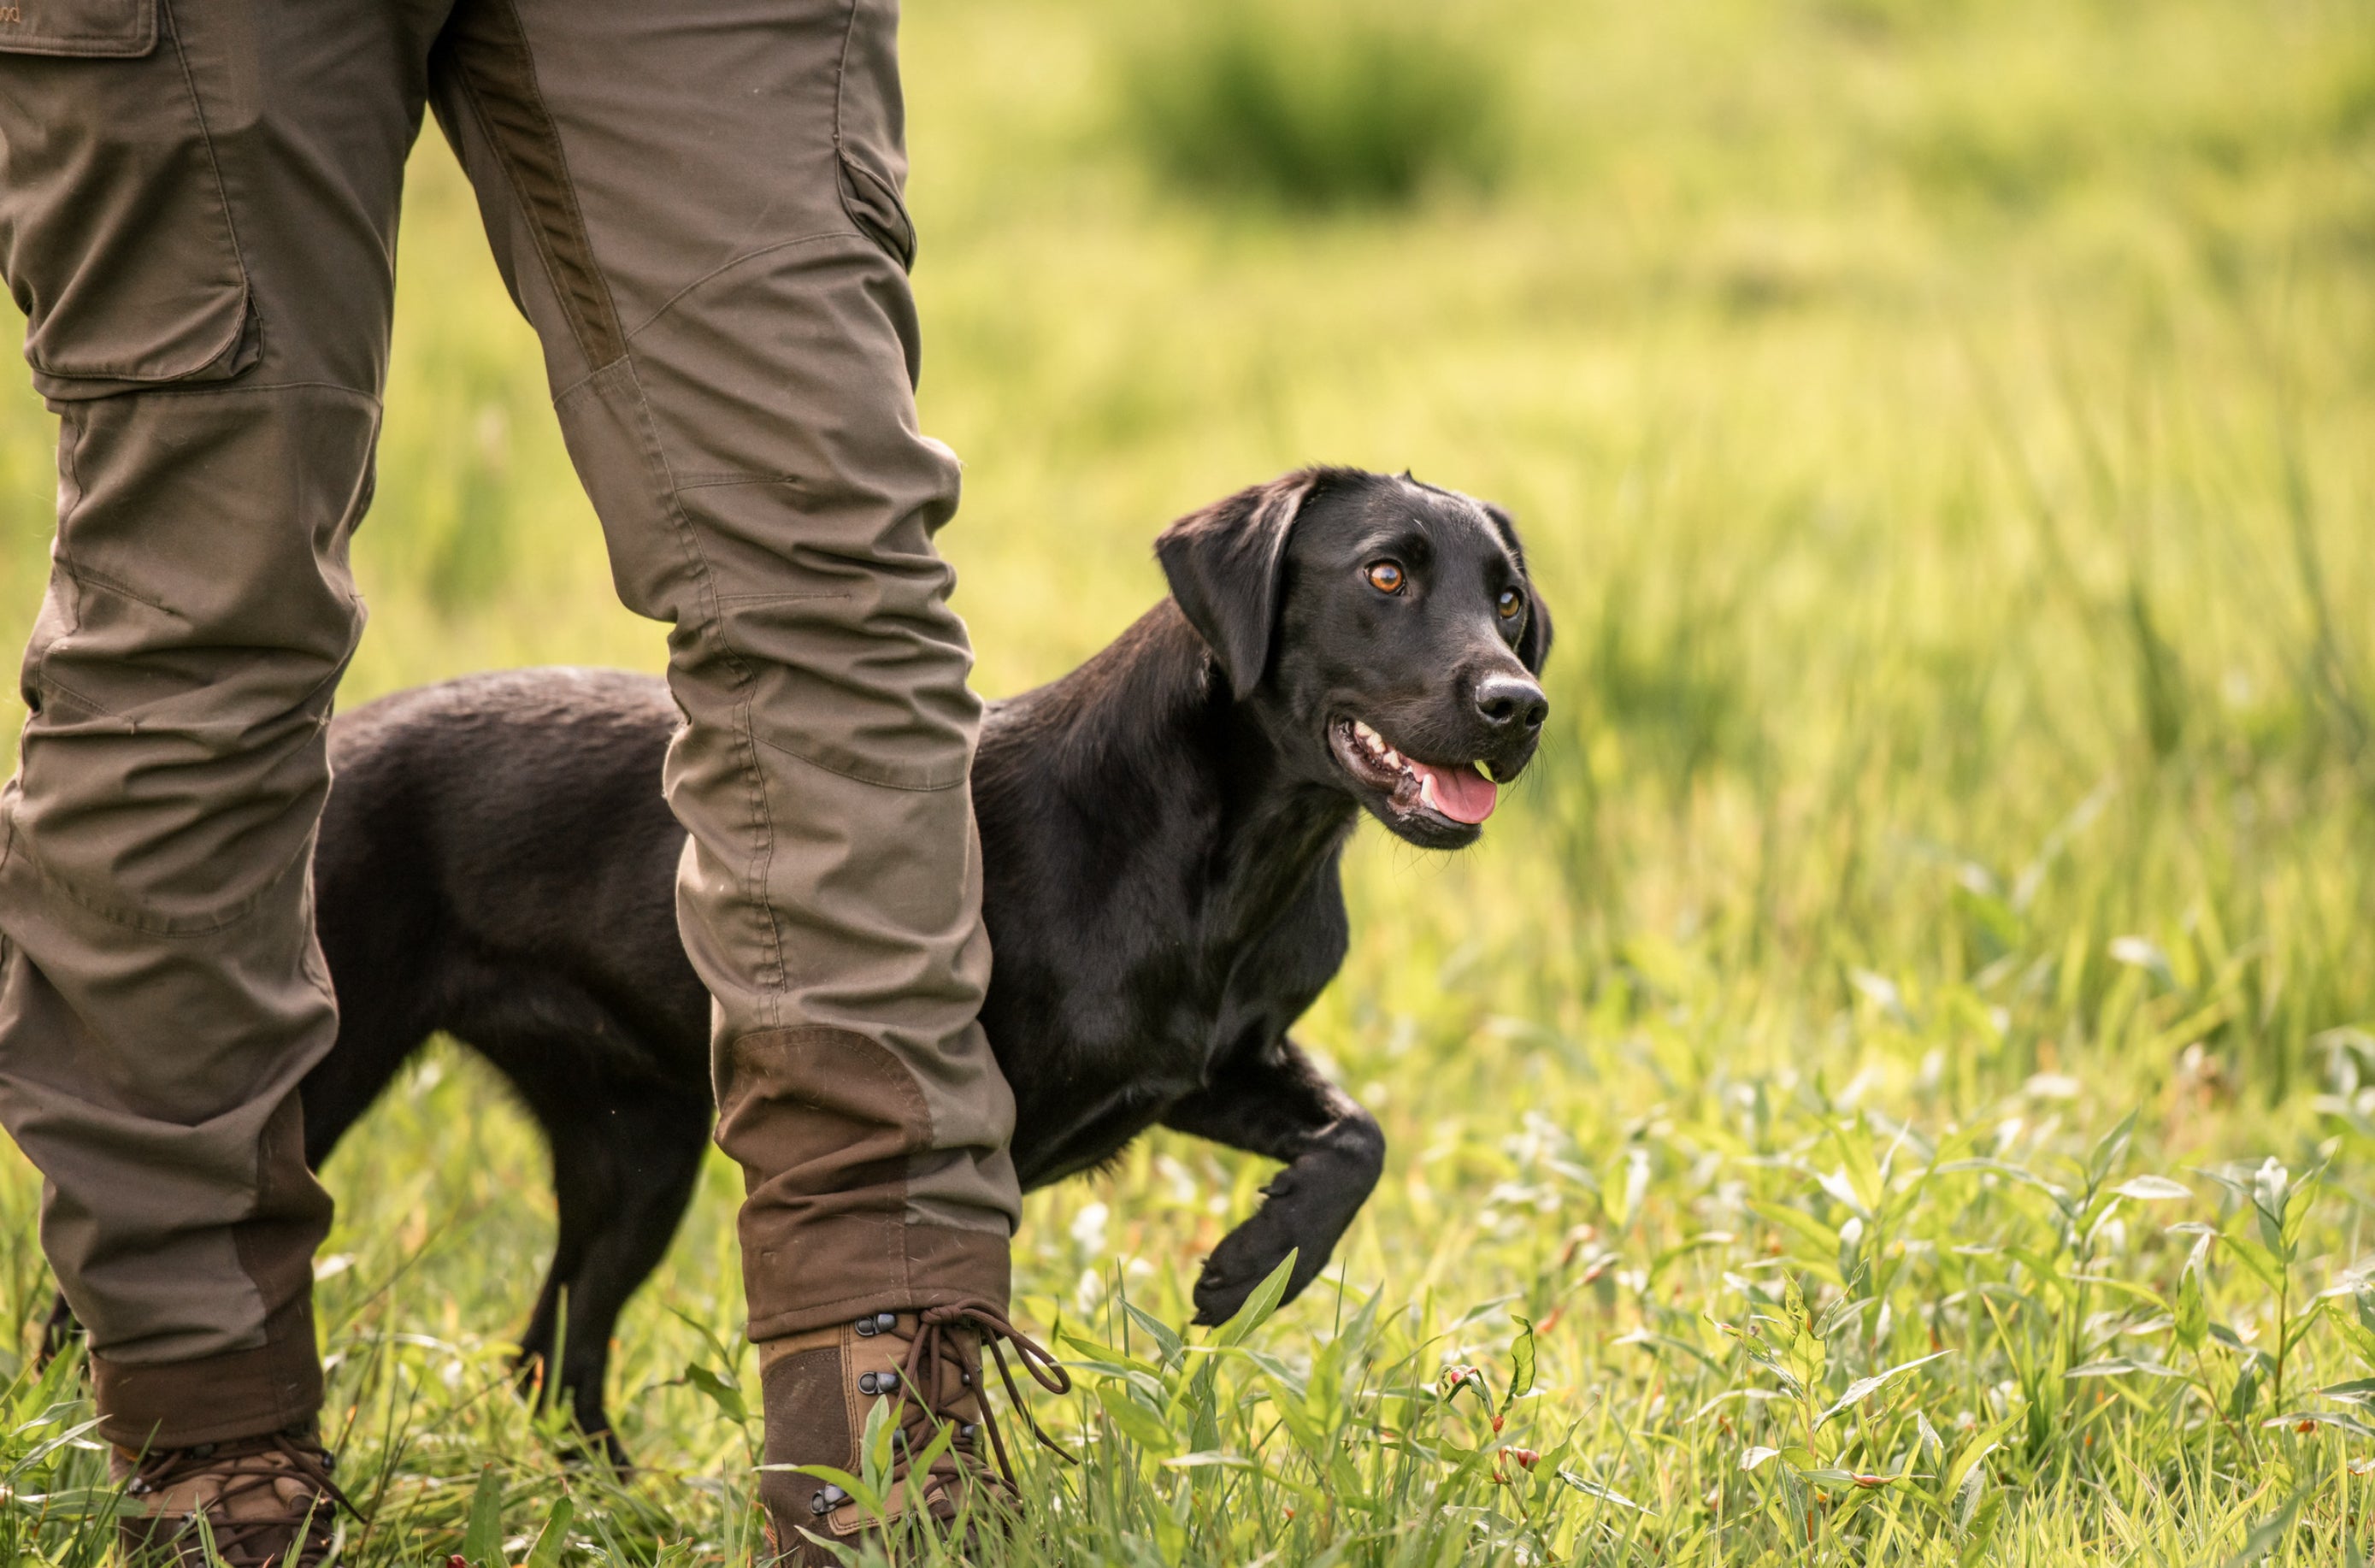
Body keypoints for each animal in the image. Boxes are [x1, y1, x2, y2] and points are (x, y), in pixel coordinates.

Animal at [56, 465, 1548, 1453]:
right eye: (1382, 574)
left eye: (1509, 599)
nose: (1516, 705)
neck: (1234, 851)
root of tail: (333, 745)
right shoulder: (964, 1129)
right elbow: (937, 1330)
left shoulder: (1213, 1063)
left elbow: (1356, 1138)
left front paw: (1254, 1264)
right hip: (320, 1076)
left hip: (633, 1152)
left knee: (551, 1355)